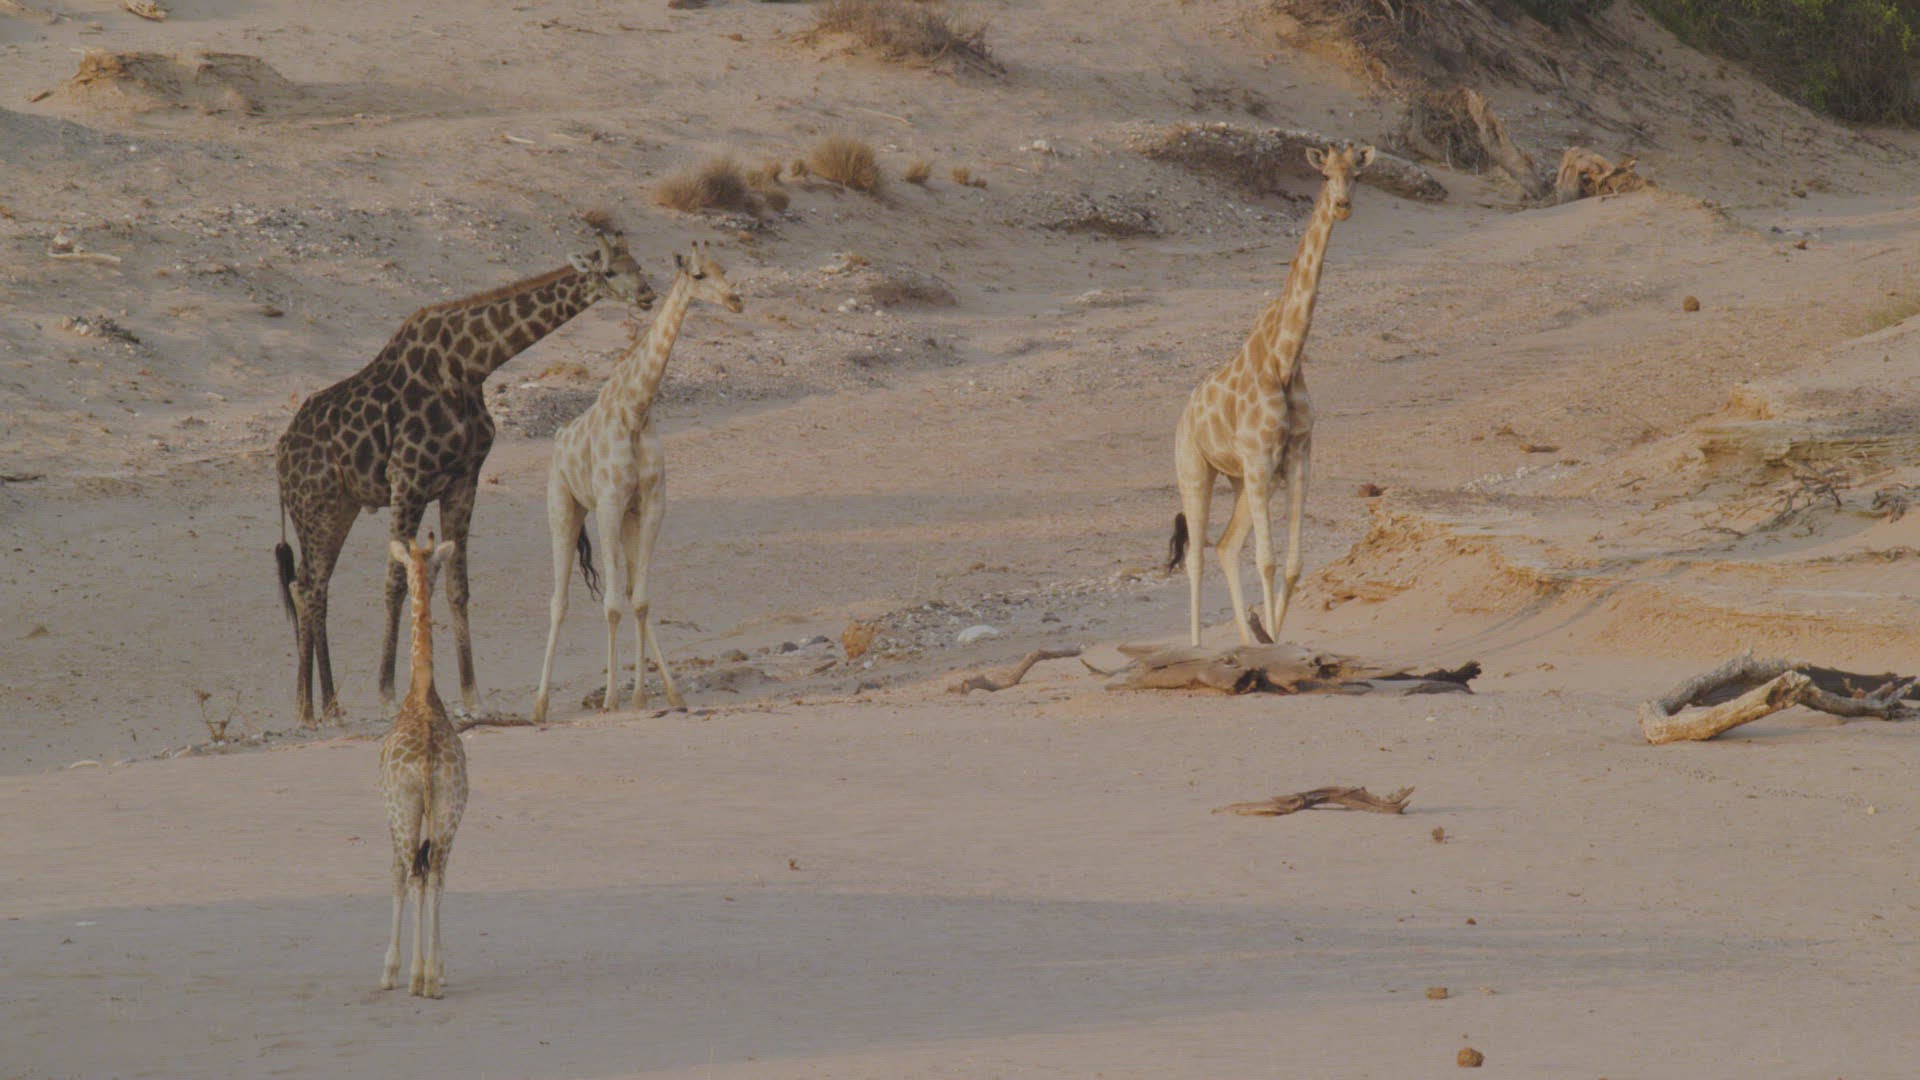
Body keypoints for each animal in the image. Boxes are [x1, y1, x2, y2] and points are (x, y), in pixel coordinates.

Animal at [274, 230, 655, 728]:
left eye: (638, 265)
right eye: (609, 271)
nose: (647, 294)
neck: (470, 364)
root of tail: (280, 458)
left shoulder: (462, 479)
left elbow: (458, 587)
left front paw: (473, 695)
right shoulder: (408, 477)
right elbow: (396, 583)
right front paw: (387, 694)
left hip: (339, 506)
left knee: (311, 586)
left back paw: (328, 706)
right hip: (315, 505)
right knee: (309, 587)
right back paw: (307, 709)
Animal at [531, 241, 743, 724]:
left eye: (724, 268)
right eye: (699, 275)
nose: (736, 300)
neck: (636, 409)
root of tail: (558, 439)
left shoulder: (650, 502)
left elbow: (640, 599)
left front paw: (648, 696)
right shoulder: (608, 503)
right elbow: (611, 604)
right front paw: (612, 699)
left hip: (625, 518)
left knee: (627, 590)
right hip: (564, 508)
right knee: (558, 601)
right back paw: (539, 704)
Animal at [1167, 143, 1374, 647]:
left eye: (1357, 174)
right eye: (1324, 175)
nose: (1342, 205)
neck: (1285, 358)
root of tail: (1184, 415)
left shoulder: (1297, 457)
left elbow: (1294, 564)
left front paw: (1275, 638)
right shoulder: (1261, 458)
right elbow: (1268, 560)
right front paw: (1274, 640)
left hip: (1242, 479)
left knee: (1225, 545)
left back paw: (1247, 638)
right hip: (1194, 470)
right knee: (1197, 555)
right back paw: (1197, 646)